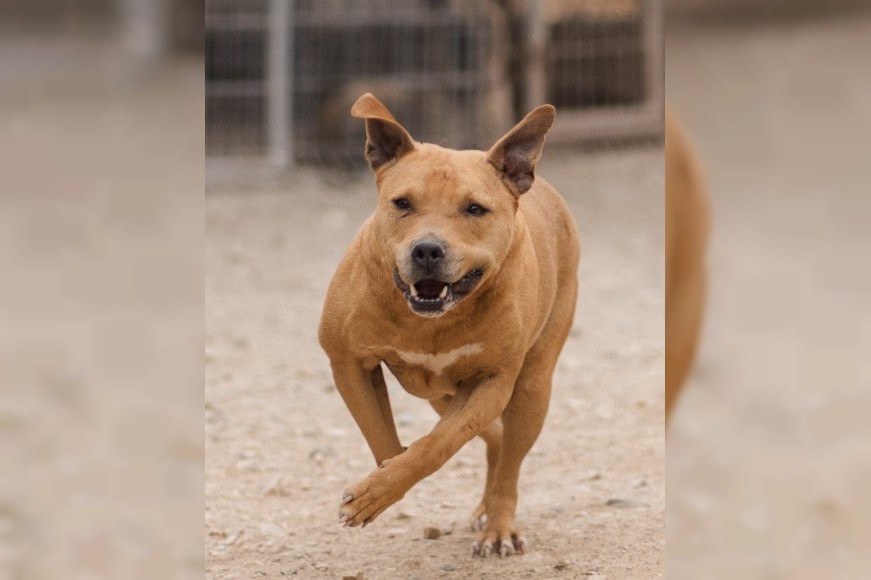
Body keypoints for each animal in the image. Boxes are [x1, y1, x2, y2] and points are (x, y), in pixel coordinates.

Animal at [320, 93, 580, 556]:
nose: (427, 249)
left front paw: (379, 488)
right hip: (440, 394)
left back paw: (499, 526)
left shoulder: (493, 381)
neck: (430, 320)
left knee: (509, 456)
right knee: (495, 438)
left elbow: (437, 444)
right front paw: (380, 484)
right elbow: (386, 440)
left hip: (531, 387)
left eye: (475, 209)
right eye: (402, 203)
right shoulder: (347, 361)